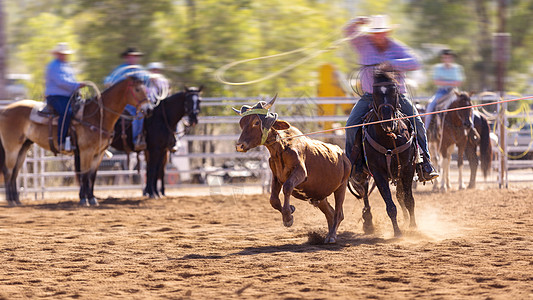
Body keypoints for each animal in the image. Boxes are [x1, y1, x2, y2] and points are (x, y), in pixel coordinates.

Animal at [0, 76, 154, 206]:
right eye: (137, 89)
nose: (149, 109)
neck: (97, 116)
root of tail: (5, 110)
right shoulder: (86, 151)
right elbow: (84, 174)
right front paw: (84, 199)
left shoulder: (99, 153)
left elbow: (92, 176)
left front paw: (92, 198)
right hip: (12, 147)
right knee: (8, 171)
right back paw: (10, 200)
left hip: (23, 147)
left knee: (15, 172)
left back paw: (17, 200)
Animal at [232, 96, 350, 244]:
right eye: (241, 123)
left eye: (256, 122)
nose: (239, 146)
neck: (282, 147)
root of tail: (342, 154)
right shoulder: (276, 177)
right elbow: (273, 199)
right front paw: (290, 210)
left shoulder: (300, 172)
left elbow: (287, 187)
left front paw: (288, 217)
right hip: (320, 195)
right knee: (330, 213)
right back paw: (328, 234)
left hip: (341, 186)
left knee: (339, 213)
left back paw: (332, 236)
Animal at [352, 70, 418, 237]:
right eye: (375, 94)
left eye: (394, 92)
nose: (388, 122)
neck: (389, 139)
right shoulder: (378, 172)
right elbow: (390, 205)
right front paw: (397, 232)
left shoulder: (408, 167)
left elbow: (409, 200)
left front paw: (413, 227)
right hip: (364, 173)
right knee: (364, 192)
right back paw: (368, 222)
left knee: (401, 196)